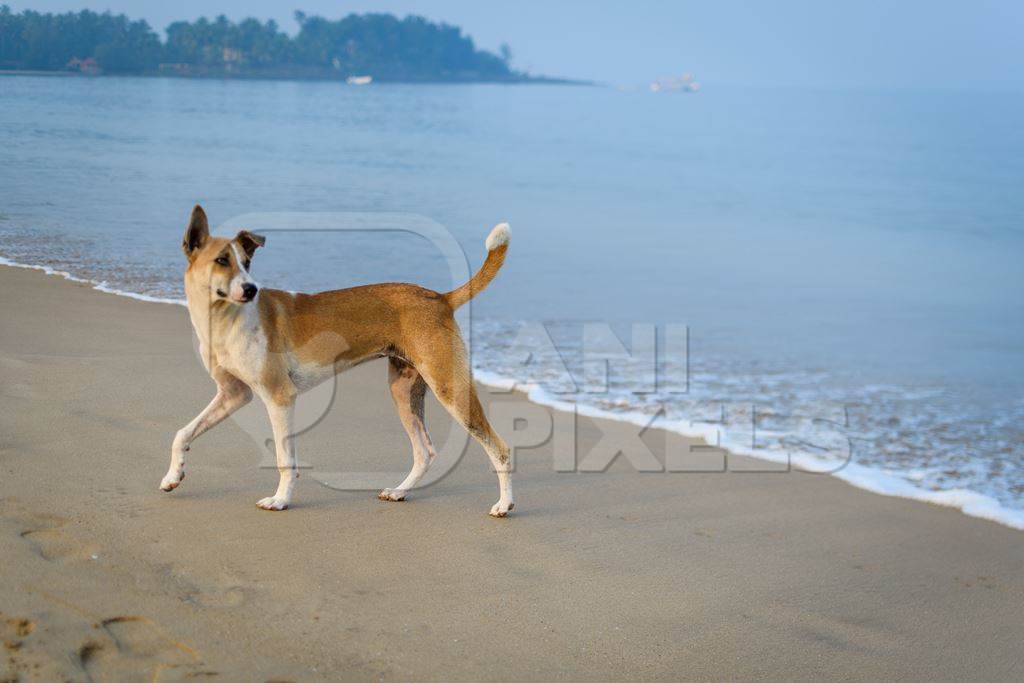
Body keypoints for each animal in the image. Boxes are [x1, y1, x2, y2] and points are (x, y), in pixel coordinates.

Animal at [162, 205, 516, 516]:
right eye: (222, 260)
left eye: (247, 262)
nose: (251, 289)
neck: (230, 319)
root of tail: (440, 298)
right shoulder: (233, 394)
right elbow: (182, 433)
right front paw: (172, 476)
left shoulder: (279, 397)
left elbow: (284, 459)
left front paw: (280, 500)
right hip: (404, 391)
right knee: (424, 452)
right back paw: (400, 491)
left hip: (448, 387)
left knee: (499, 448)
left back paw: (504, 505)